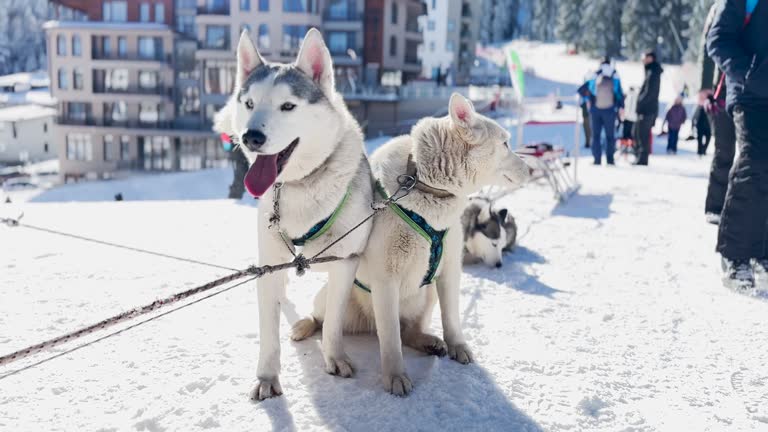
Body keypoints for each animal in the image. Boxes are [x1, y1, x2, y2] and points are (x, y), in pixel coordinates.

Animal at [213, 28, 376, 402]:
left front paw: (334, 357)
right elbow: (268, 331)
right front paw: (267, 377)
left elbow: (333, 321)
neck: (303, 185)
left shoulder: (346, 263)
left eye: (288, 106)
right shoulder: (268, 267)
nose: (251, 137)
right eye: (249, 103)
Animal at [292, 93, 532, 394]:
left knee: (408, 332)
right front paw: (395, 376)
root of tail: (367, 324)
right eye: (505, 143)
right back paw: (304, 326)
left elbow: (451, 318)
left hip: (426, 294)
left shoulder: (450, 270)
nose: (531, 169)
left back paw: (430, 342)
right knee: (323, 320)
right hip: (336, 297)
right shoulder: (386, 281)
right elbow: (391, 339)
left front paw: (457, 346)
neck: (421, 184)